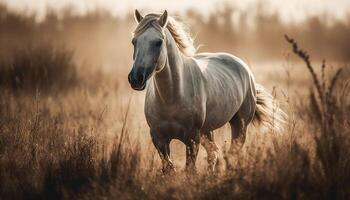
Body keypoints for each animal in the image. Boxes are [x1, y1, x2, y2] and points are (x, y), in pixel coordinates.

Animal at [127, 9, 286, 173]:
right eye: (134, 41)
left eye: (158, 42)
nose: (136, 78)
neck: (171, 97)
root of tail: (244, 68)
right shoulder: (159, 139)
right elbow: (169, 169)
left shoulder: (192, 138)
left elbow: (190, 170)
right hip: (207, 131)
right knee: (213, 152)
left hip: (239, 126)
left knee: (232, 153)